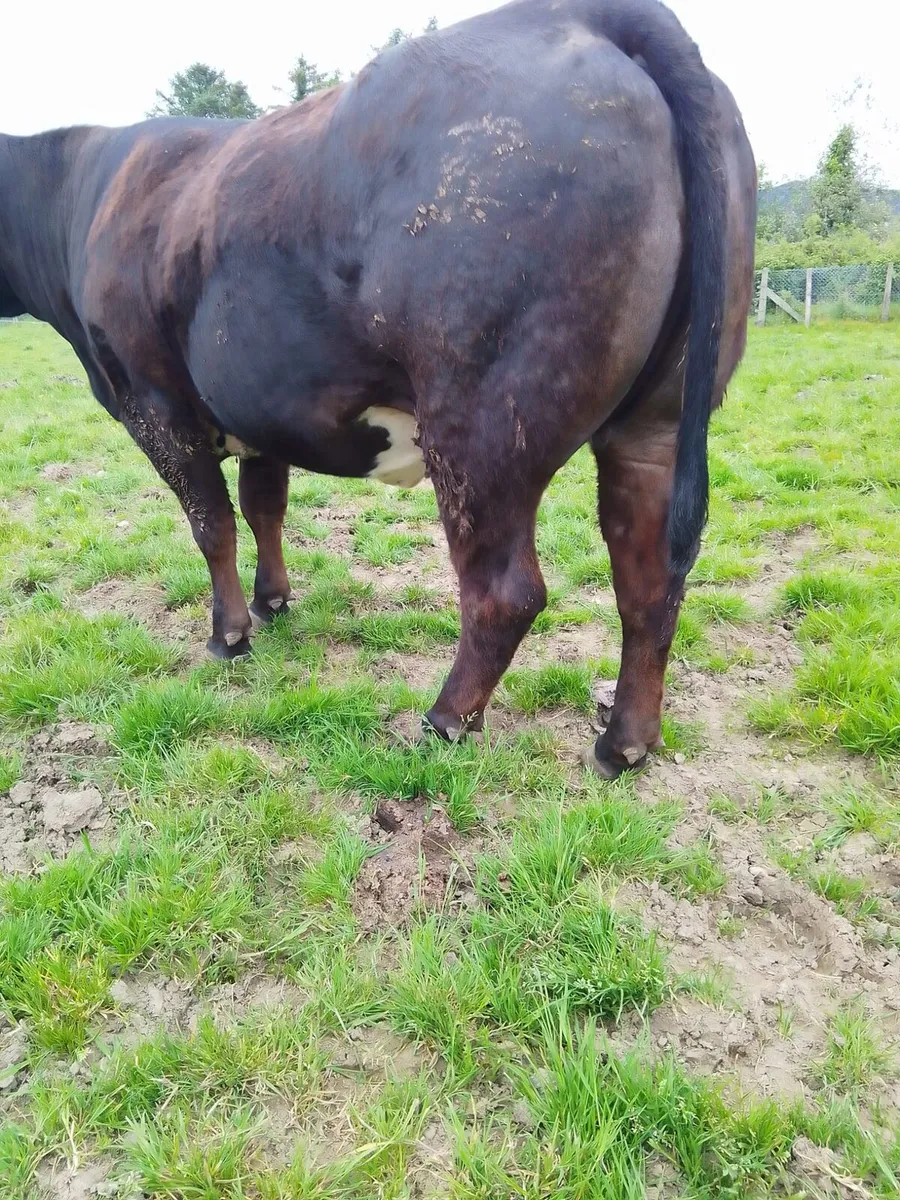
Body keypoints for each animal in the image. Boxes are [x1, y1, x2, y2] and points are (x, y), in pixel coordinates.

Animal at [0, 0, 756, 777]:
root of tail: (582, 18)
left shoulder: (154, 403)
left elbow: (212, 525)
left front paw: (230, 635)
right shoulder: (259, 408)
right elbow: (263, 506)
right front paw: (274, 603)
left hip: (482, 424)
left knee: (505, 591)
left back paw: (444, 721)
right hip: (654, 423)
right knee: (650, 580)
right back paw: (622, 743)